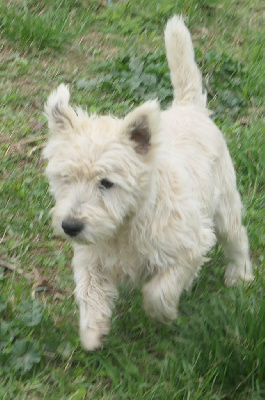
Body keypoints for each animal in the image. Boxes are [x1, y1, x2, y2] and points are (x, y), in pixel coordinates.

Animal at [42, 15, 253, 350]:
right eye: (65, 178)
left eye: (106, 183)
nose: (70, 226)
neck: (126, 226)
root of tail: (189, 107)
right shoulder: (91, 257)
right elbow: (88, 289)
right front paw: (92, 331)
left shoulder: (191, 244)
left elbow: (158, 290)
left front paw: (164, 314)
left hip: (224, 203)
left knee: (237, 236)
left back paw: (240, 275)